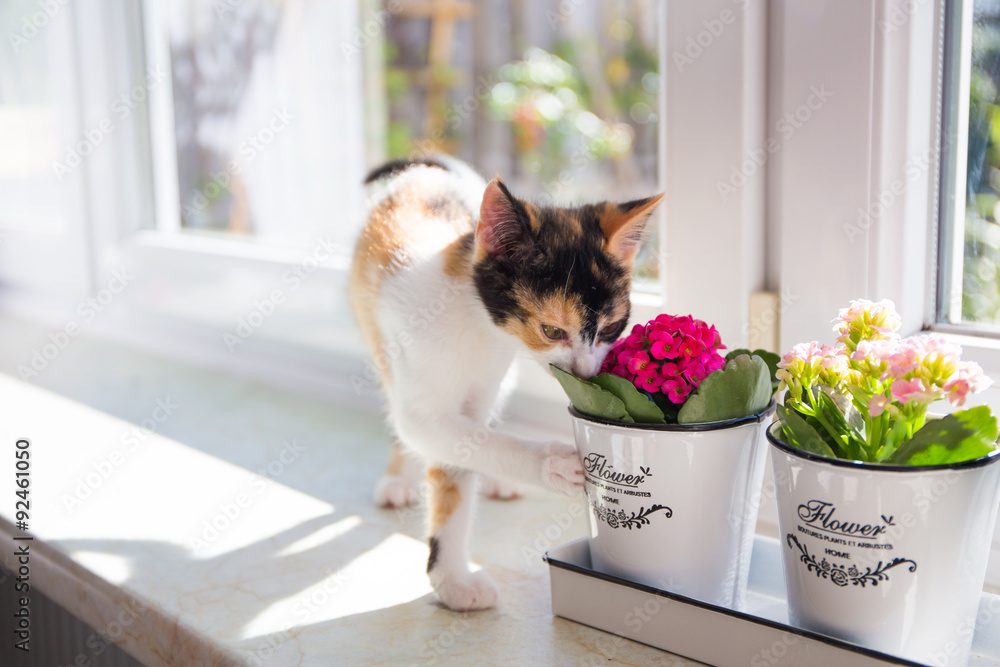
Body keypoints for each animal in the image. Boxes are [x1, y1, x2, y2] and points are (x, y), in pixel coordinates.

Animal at [352, 155, 664, 612]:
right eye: (552, 331)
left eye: (610, 328)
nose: (585, 373)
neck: (476, 322)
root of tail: (424, 170)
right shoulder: (424, 404)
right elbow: (439, 435)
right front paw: (552, 464)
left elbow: (462, 460)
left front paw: (452, 578)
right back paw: (398, 478)